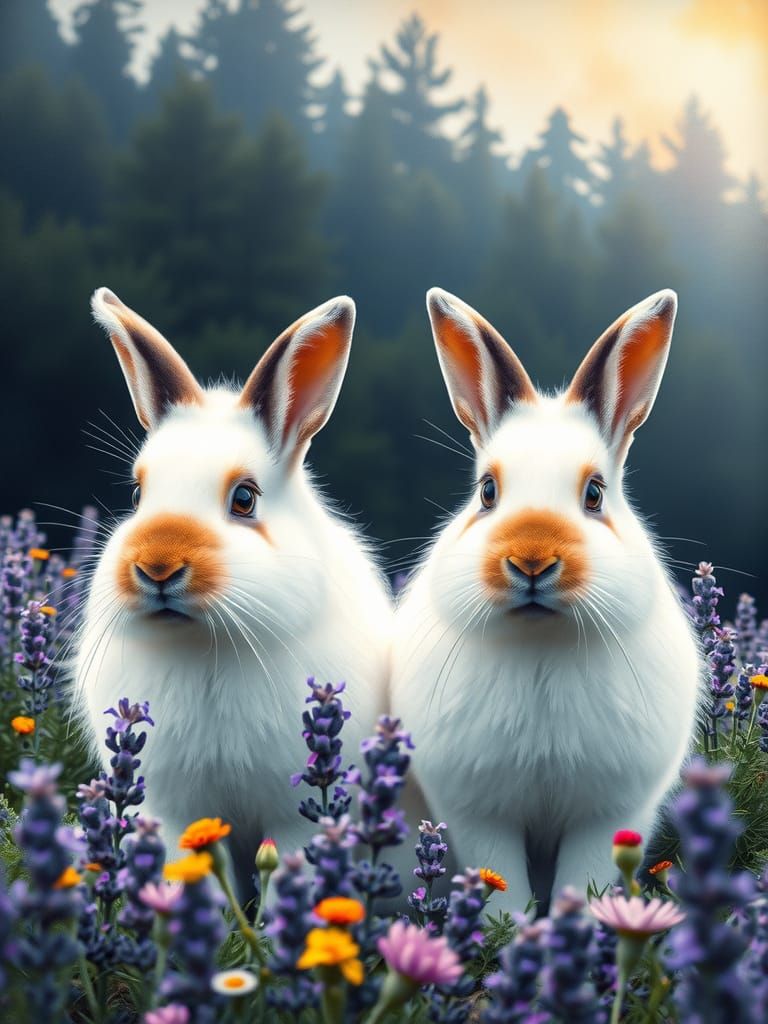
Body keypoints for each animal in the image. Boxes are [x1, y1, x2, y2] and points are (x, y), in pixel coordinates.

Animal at [75, 287, 391, 898]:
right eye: (137, 494)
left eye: (244, 498)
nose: (157, 567)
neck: (205, 644)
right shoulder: (175, 811)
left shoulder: (292, 817)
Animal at [390, 287, 700, 913]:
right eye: (487, 491)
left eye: (595, 493)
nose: (531, 560)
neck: (541, 640)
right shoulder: (478, 811)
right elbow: (498, 882)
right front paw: (511, 928)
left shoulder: (608, 814)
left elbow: (584, 879)